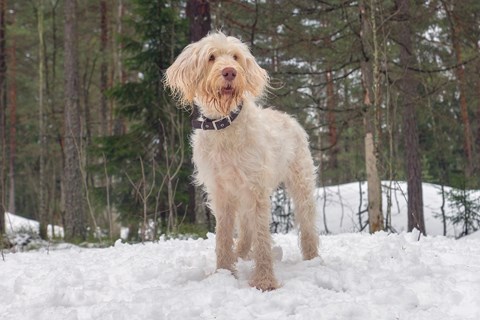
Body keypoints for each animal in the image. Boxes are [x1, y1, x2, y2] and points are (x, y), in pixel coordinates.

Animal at [165, 31, 318, 290]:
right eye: (211, 57)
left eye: (235, 56)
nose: (229, 72)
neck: (225, 126)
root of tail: (289, 118)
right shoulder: (221, 191)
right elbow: (223, 236)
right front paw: (224, 272)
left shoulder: (256, 189)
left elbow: (262, 237)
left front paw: (265, 281)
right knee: (245, 231)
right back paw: (240, 253)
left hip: (301, 184)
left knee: (307, 225)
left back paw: (313, 259)